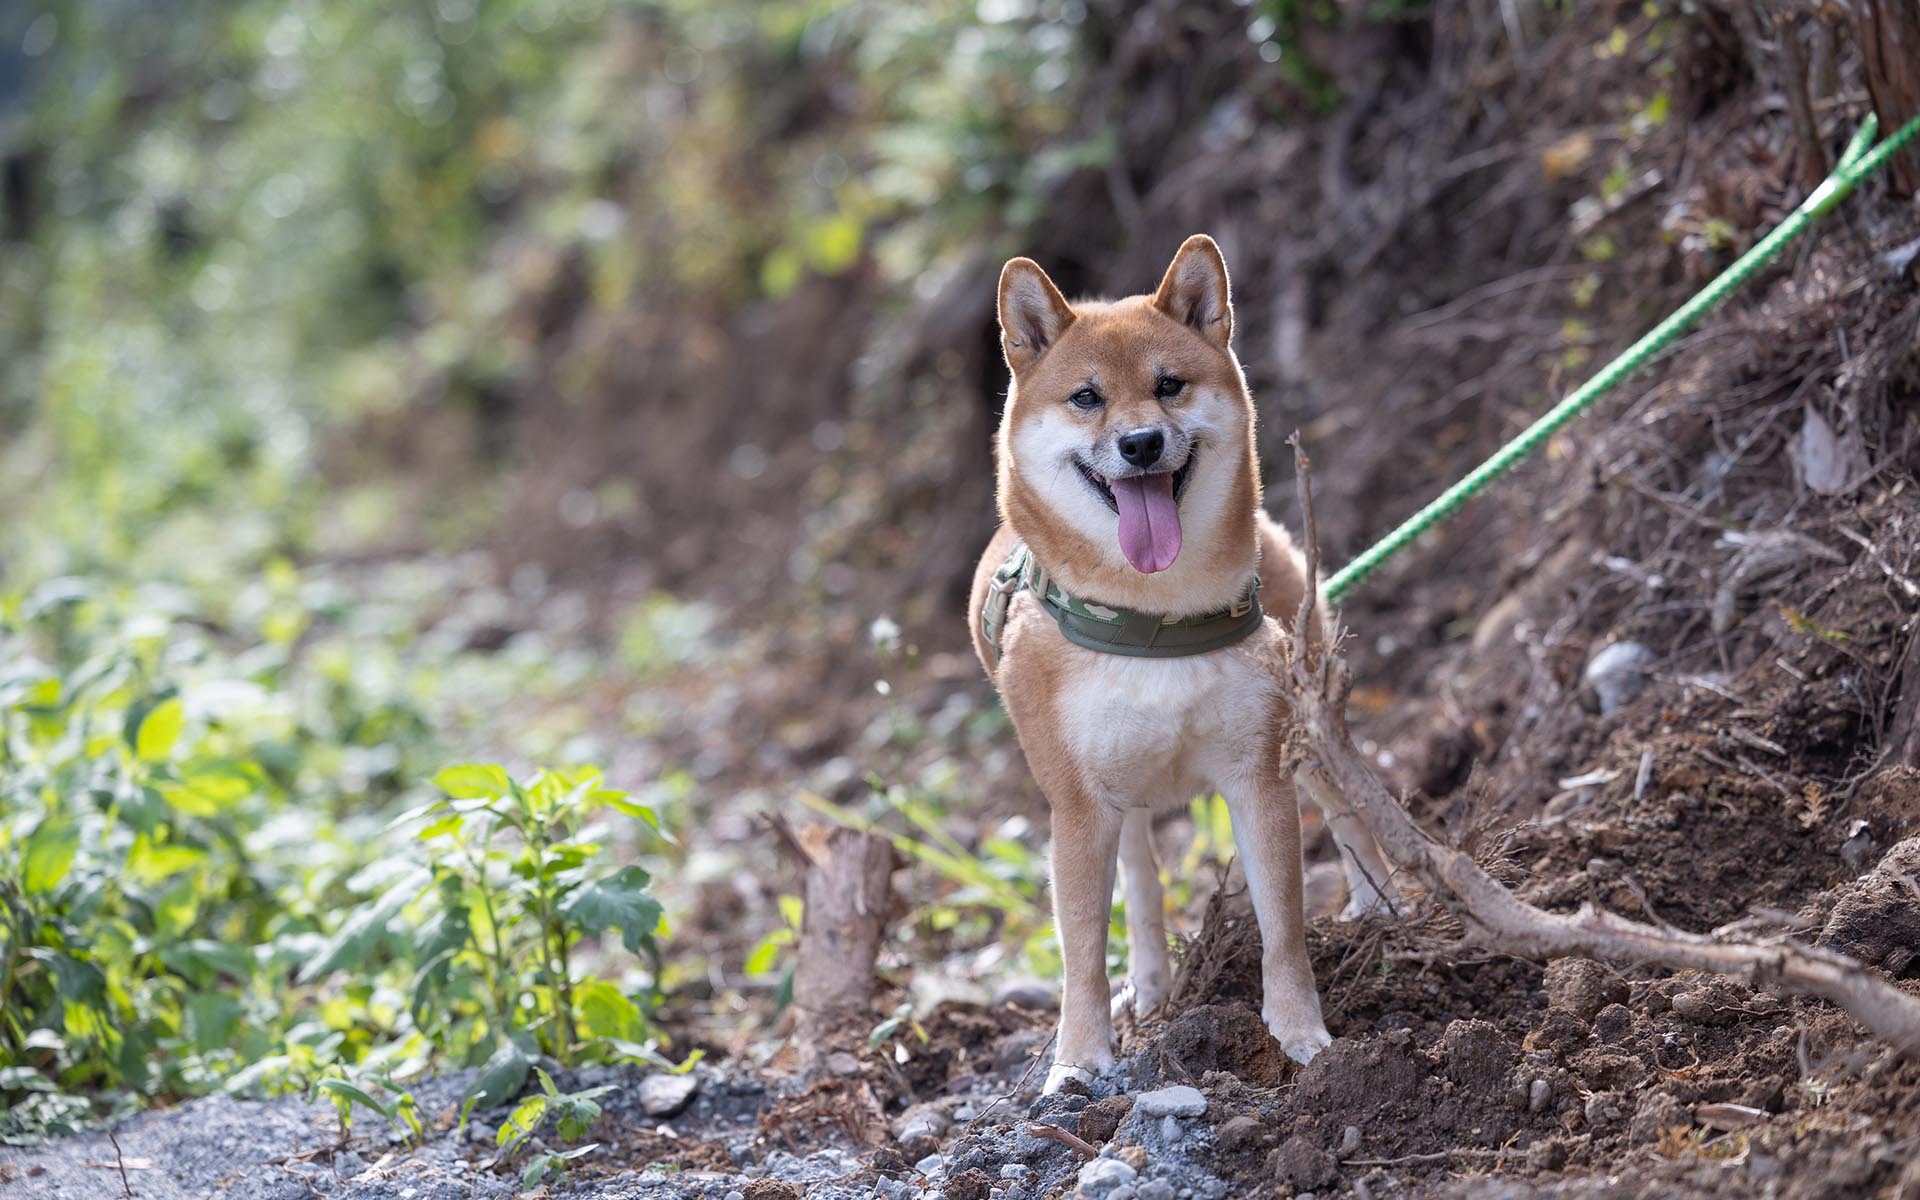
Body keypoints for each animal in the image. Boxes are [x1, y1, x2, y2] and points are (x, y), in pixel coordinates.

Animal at [967, 234, 1390, 1098]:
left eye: (1169, 385)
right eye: (1086, 398)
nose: (1140, 445)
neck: (1153, 616)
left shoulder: (1257, 777)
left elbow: (1283, 928)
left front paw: (1301, 1034)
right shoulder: (1078, 807)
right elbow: (1082, 951)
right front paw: (1078, 1060)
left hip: (1309, 718)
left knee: (1349, 809)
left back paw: (1388, 905)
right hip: (1109, 797)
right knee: (1141, 878)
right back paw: (1155, 985)